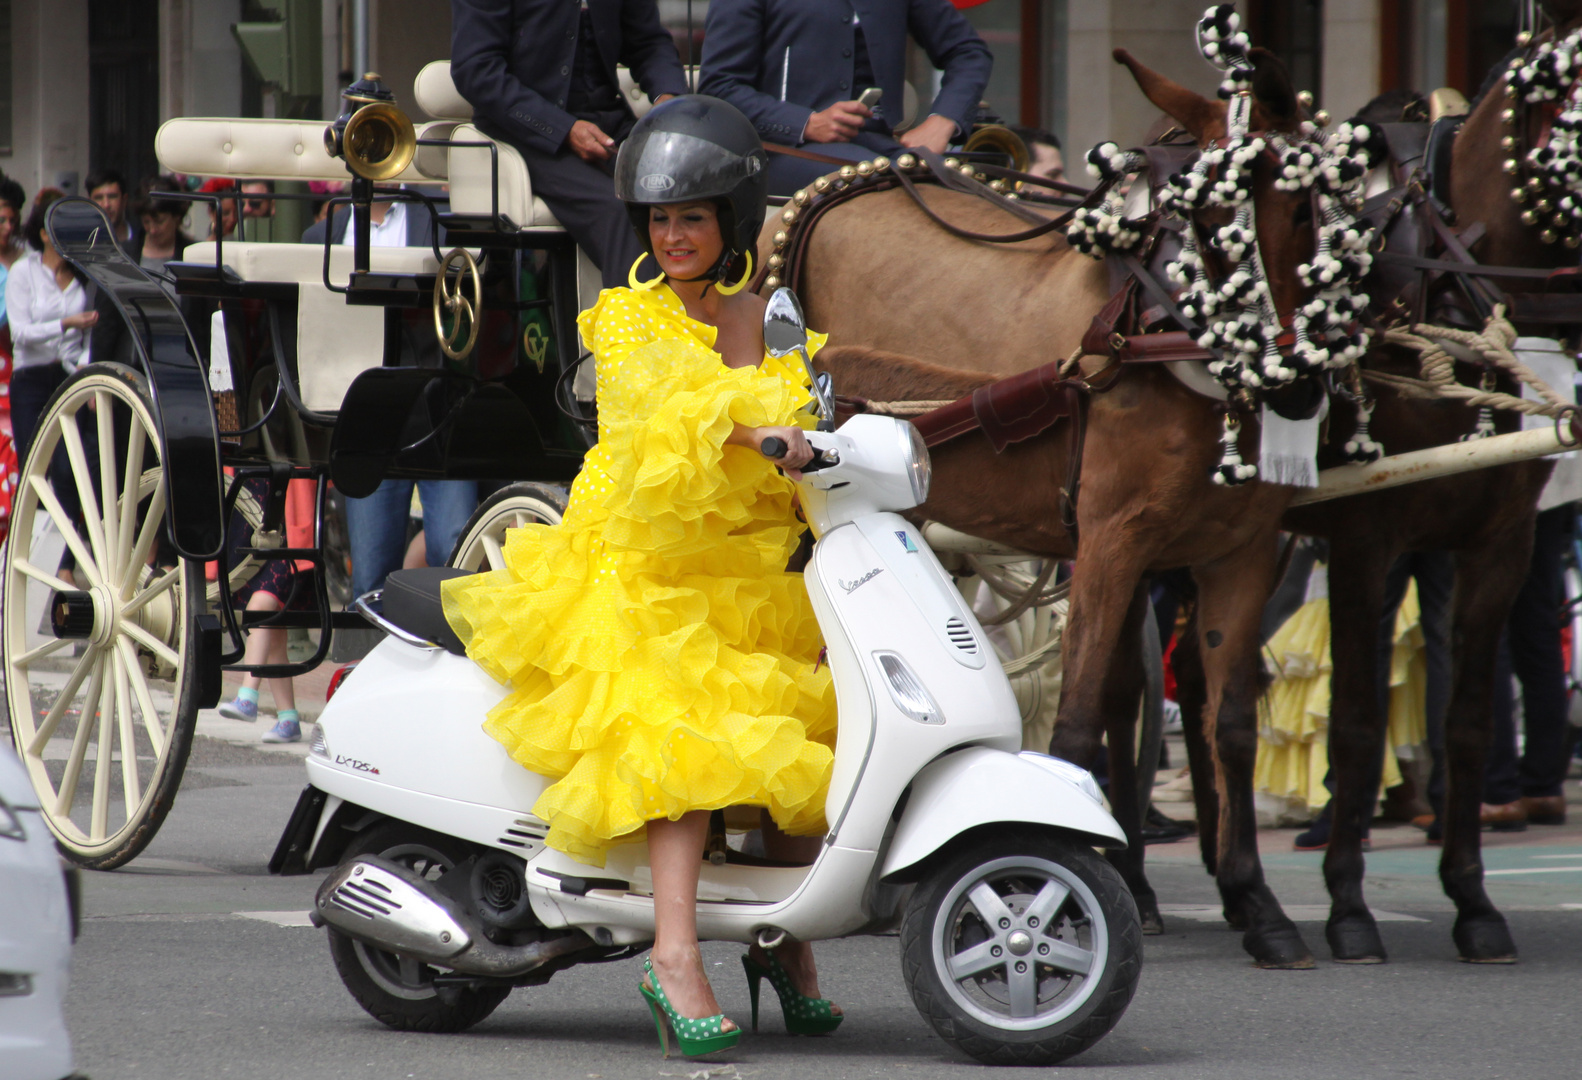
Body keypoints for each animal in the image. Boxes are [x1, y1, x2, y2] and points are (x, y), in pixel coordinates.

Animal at [791, 46, 1322, 967]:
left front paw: (1257, 904)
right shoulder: (1113, 539)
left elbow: (1229, 725)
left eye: (1303, 205)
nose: (1295, 381)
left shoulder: (1243, 550)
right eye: (1207, 216)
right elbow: (1075, 726)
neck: (1160, 345)